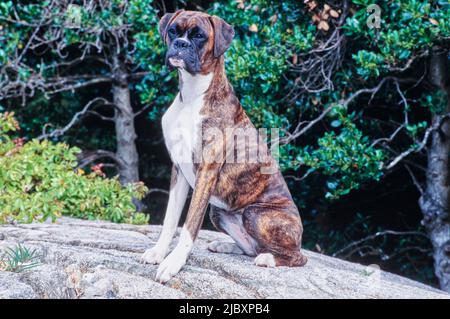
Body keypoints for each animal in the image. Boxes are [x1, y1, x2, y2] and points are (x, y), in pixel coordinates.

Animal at [142, 10, 308, 284]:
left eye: (199, 35)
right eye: (174, 31)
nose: (180, 44)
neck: (193, 95)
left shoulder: (206, 173)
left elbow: (188, 226)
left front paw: (173, 264)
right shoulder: (178, 170)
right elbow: (170, 220)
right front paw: (158, 252)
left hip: (256, 214)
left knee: (296, 257)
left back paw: (268, 259)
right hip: (218, 213)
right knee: (252, 246)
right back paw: (226, 245)